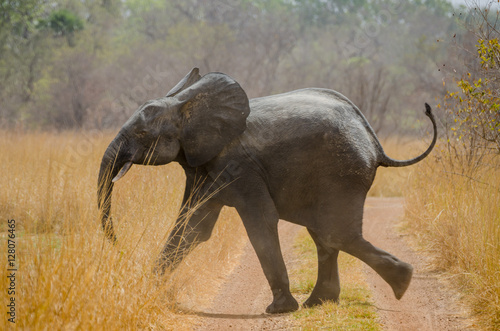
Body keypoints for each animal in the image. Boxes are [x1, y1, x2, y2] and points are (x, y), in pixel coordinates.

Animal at [96, 67, 434, 314]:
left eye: (142, 133)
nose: (120, 246)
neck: (187, 105)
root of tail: (374, 142)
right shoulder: (203, 163)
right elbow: (192, 226)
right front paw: (148, 291)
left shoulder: (239, 166)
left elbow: (259, 222)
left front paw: (279, 309)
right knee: (324, 234)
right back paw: (319, 303)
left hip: (344, 173)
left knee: (334, 233)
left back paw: (402, 282)